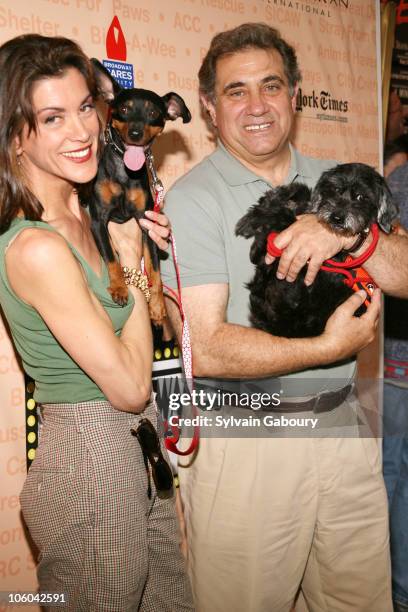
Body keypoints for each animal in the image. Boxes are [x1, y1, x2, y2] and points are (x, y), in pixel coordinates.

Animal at [89, 59, 191, 326]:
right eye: (124, 108)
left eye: (153, 113)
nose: (135, 133)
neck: (125, 174)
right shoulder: (98, 221)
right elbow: (112, 259)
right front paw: (119, 288)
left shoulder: (148, 223)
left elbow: (154, 270)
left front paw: (156, 305)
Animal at [236, 163, 398, 340]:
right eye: (335, 189)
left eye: (361, 197)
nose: (337, 218)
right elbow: (301, 191)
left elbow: (285, 213)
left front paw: (257, 214)